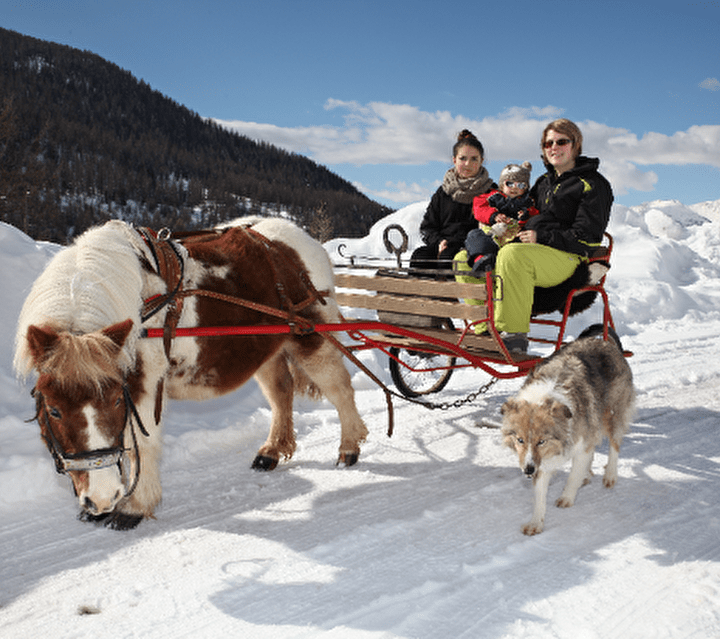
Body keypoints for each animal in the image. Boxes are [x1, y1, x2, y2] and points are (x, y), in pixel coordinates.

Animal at [14, 217, 368, 530]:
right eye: (54, 410)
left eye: (115, 401)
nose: (100, 499)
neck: (137, 303)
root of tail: (301, 239)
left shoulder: (144, 382)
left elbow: (142, 442)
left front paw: (134, 507)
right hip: (266, 348)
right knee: (281, 393)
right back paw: (271, 451)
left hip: (312, 338)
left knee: (340, 389)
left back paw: (349, 447)